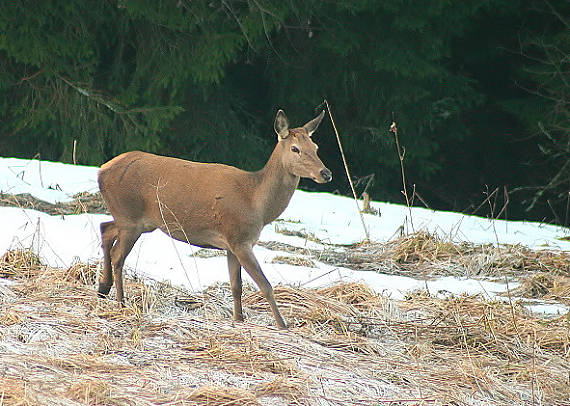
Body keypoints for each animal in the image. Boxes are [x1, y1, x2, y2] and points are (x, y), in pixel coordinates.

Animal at [95, 108, 330, 330]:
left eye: (316, 147)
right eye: (295, 149)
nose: (326, 173)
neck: (257, 203)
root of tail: (101, 171)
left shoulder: (232, 244)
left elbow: (236, 286)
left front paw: (239, 320)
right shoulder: (240, 239)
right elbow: (265, 285)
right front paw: (282, 326)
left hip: (136, 220)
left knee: (105, 228)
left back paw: (103, 288)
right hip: (130, 217)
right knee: (118, 255)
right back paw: (121, 303)